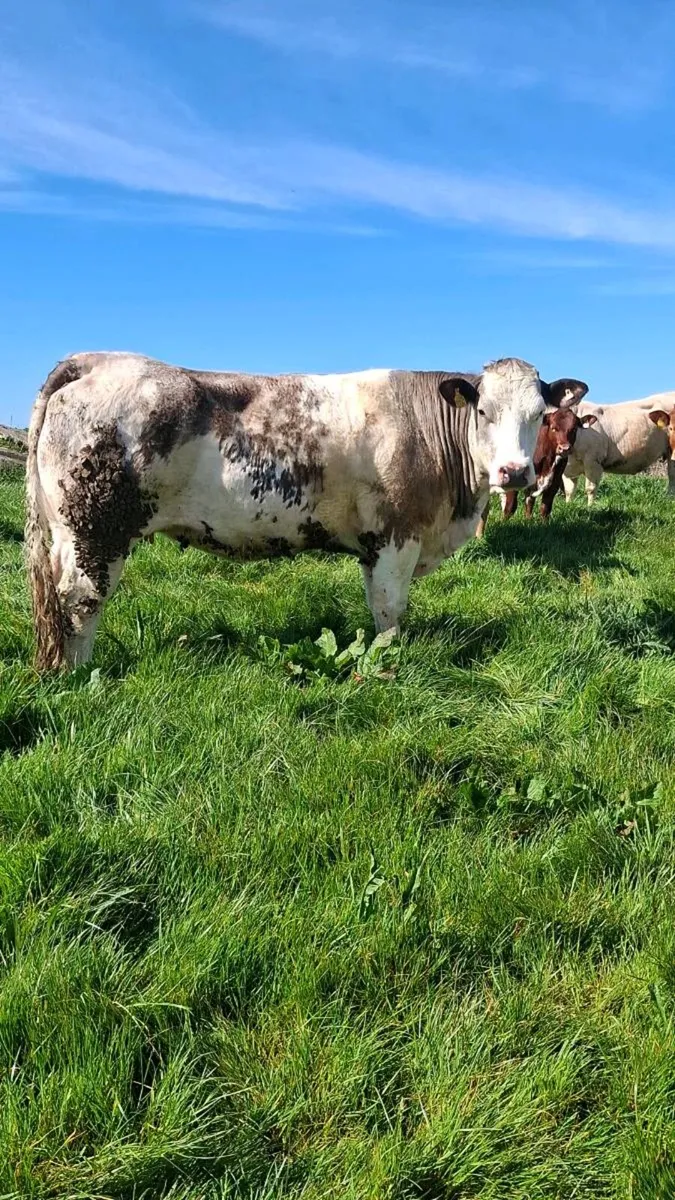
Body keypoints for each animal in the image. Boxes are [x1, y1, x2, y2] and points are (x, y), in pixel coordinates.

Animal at [475, 407, 595, 536]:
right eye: (553, 428)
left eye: (574, 429)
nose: (565, 448)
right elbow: (510, 507)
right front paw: (504, 524)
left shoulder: (554, 482)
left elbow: (543, 507)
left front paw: (538, 524)